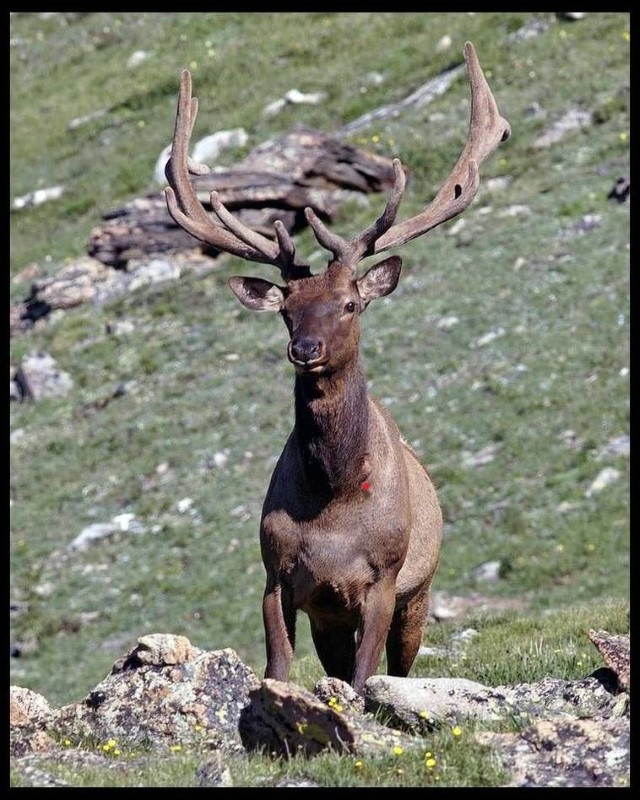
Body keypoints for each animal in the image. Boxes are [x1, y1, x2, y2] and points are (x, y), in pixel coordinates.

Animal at [164, 42, 510, 693]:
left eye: (350, 304)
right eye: (287, 310)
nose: (306, 349)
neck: (334, 504)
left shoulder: (383, 579)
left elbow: (363, 676)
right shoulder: (278, 577)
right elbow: (278, 666)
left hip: (419, 592)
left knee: (400, 663)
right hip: (329, 615)